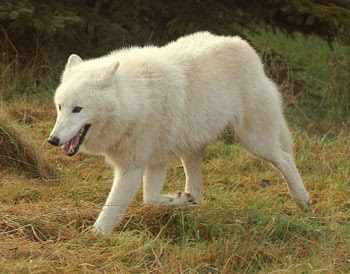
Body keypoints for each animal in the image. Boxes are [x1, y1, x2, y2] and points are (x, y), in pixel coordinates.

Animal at [47, 31, 310, 234]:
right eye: (60, 107)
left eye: (78, 109)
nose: (52, 140)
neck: (134, 101)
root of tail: (244, 45)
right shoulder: (155, 162)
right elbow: (150, 199)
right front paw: (179, 199)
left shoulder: (132, 169)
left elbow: (111, 211)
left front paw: (95, 237)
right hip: (191, 149)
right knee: (198, 188)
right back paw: (190, 199)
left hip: (254, 141)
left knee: (286, 159)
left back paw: (303, 199)